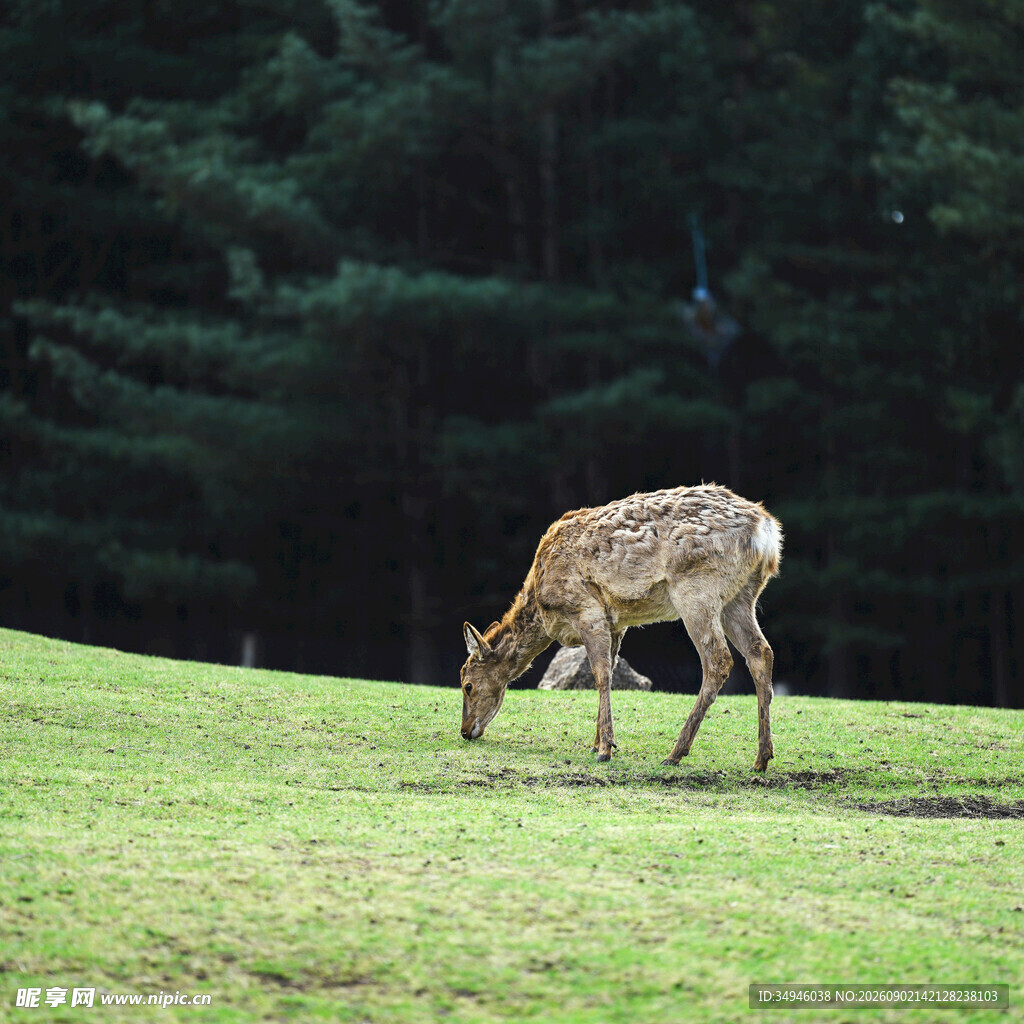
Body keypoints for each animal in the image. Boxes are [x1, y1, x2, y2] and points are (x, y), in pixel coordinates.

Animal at [459, 484, 782, 771]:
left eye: (467, 685)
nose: (464, 730)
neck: (543, 607)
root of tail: (766, 533)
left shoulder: (586, 609)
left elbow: (600, 674)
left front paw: (605, 749)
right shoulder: (616, 623)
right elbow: (612, 672)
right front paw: (597, 742)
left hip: (697, 587)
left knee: (718, 660)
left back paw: (675, 753)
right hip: (741, 596)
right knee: (761, 652)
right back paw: (761, 759)